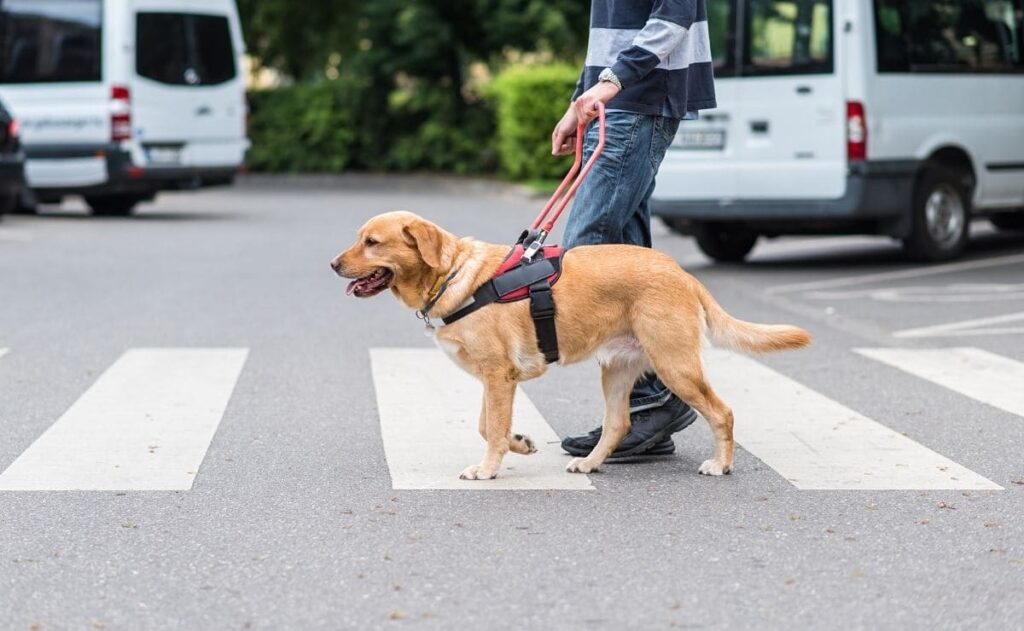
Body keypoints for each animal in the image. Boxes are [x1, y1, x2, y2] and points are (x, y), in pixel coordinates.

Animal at [331, 209, 811, 481]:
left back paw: (721, 464)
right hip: (617, 369)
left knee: (721, 412)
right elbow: (489, 427)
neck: (452, 275)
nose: (333, 264)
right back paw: (590, 463)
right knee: (618, 423)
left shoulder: (499, 376)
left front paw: (488, 469)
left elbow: (491, 429)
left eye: (372, 242)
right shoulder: (494, 379)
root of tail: (681, 272)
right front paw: (519, 443)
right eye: (358, 237)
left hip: (674, 363)